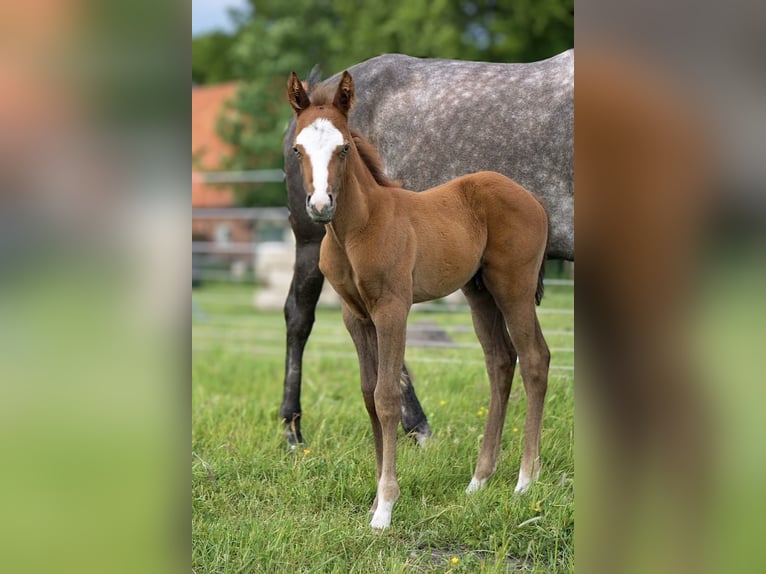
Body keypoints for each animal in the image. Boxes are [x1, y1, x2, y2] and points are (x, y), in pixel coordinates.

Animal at [287, 70, 551, 529]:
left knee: (535, 358)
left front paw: (385, 508)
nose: (320, 206)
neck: (358, 228)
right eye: (298, 148)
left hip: (513, 287)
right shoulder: (355, 315)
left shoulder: (393, 309)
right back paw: (479, 481)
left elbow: (387, 397)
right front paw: (375, 499)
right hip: (479, 292)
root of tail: (531, 197)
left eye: (344, 147)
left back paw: (524, 481)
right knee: (501, 362)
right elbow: (367, 393)